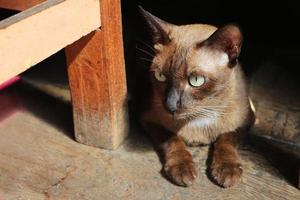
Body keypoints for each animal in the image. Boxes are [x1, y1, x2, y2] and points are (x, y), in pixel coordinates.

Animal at [138, 6, 255, 188]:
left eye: (196, 80)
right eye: (160, 76)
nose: (170, 105)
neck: (201, 115)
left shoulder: (246, 121)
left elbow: (226, 138)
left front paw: (227, 170)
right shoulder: (149, 119)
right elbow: (172, 139)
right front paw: (182, 168)